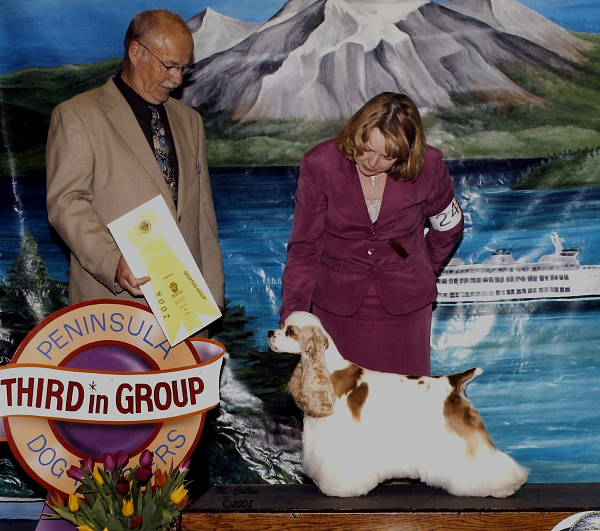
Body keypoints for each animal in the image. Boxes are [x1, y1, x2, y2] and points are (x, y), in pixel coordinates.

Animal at [270, 312, 528, 498]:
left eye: (290, 331)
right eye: (282, 325)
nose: (271, 332)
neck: (328, 371)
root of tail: (454, 382)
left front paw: (340, 490)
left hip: (462, 437)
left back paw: (503, 486)